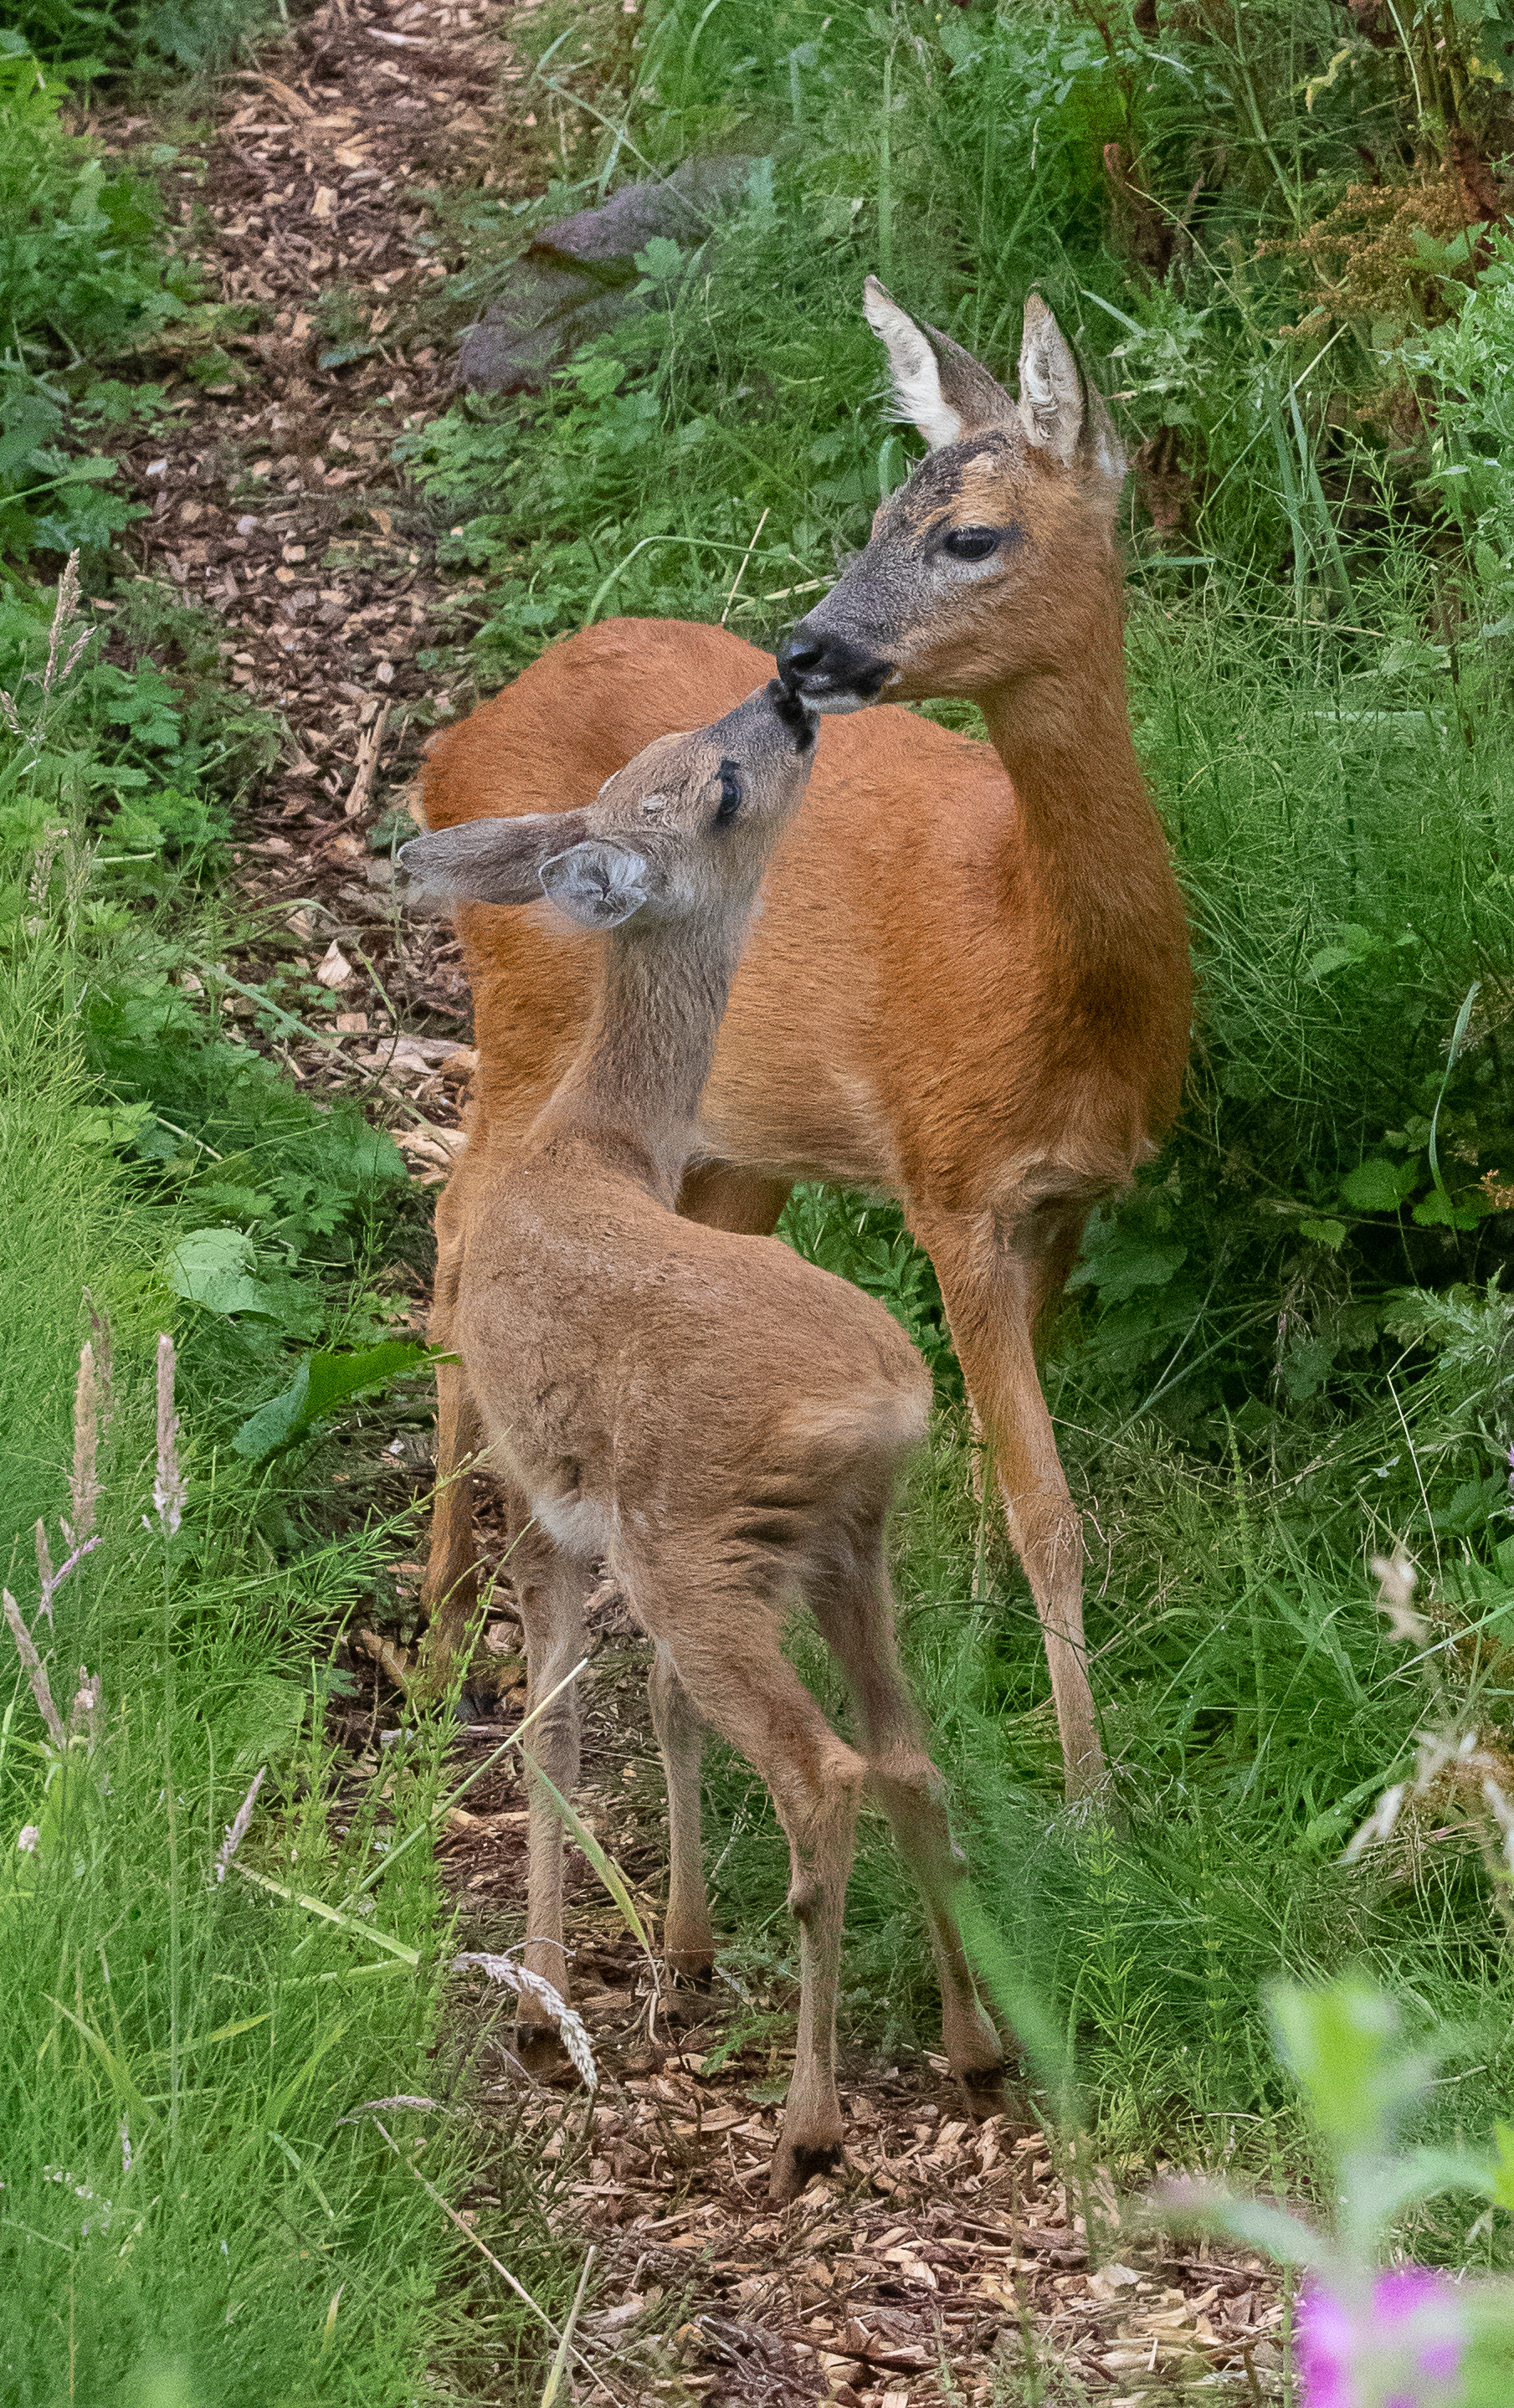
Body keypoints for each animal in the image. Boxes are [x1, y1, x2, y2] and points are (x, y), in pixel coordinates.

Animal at [397, 679, 1006, 2201]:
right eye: (710, 780)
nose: (788, 696)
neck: (592, 1144)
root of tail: (882, 1398)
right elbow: (648, 1707)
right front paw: (675, 1951)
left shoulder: (540, 1488)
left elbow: (553, 1716)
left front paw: (548, 2001)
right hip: (841, 1548)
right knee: (905, 1754)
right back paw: (976, 2047)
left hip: (699, 1543)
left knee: (822, 1773)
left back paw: (807, 2124)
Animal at [415, 284, 1192, 1804]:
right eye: (877, 512)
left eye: (967, 534)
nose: (802, 656)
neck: (1034, 963)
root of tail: (449, 740)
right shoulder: (946, 1180)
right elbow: (1047, 1508)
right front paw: (1091, 1801)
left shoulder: (1067, 1200)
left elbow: (994, 1470)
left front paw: (980, 1662)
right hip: (525, 1007)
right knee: (454, 1223)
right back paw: (432, 1631)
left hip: (728, 1143)